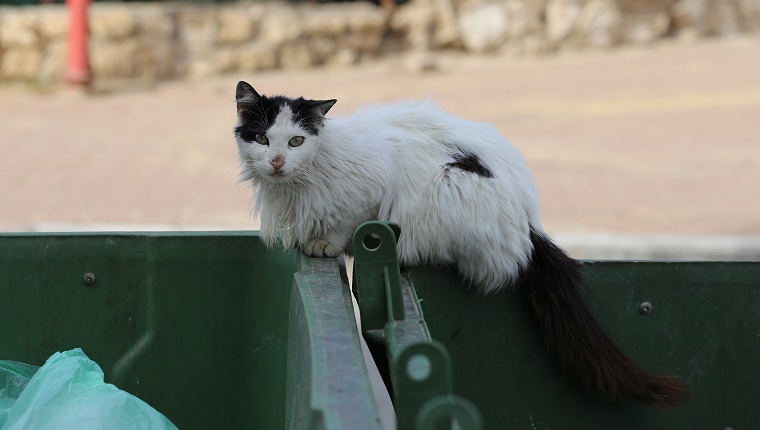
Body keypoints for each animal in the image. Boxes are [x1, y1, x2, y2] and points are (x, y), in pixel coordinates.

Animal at [233, 80, 688, 406]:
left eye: (296, 141)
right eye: (262, 139)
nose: (277, 161)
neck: (300, 179)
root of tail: (530, 226)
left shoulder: (373, 186)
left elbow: (345, 223)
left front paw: (324, 244)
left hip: (443, 189)